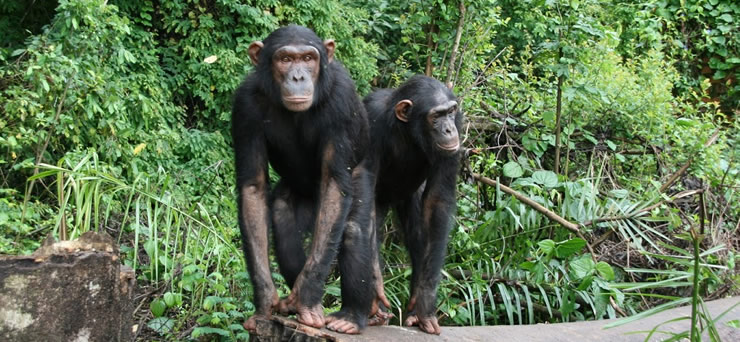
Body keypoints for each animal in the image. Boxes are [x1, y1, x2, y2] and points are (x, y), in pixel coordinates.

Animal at [233, 24, 376, 334]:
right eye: (285, 59)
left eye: (308, 58)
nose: (298, 76)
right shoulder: (244, 106)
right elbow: (253, 189)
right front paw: (265, 304)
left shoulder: (342, 98)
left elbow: (334, 185)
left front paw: (308, 299)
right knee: (283, 223)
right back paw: (290, 303)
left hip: (363, 176)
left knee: (352, 229)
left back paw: (351, 317)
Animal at [362, 75, 460, 334]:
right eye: (436, 116)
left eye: (450, 112)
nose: (449, 128)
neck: (406, 130)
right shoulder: (370, 120)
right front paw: (374, 287)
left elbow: (437, 201)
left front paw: (425, 303)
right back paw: (372, 313)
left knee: (418, 236)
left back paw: (414, 314)